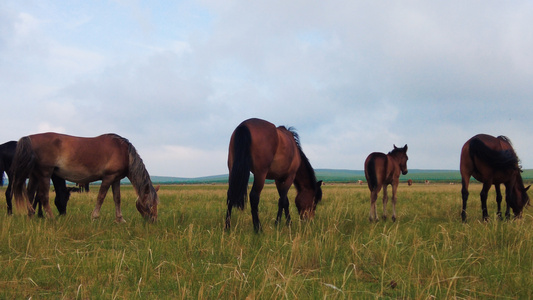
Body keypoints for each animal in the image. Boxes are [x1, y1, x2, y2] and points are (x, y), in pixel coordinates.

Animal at [10, 132, 158, 221]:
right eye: (151, 204)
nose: (154, 220)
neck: (124, 152)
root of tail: (29, 138)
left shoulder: (116, 179)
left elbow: (117, 199)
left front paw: (120, 219)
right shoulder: (108, 178)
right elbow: (101, 197)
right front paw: (95, 217)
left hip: (35, 175)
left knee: (29, 194)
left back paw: (30, 216)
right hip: (45, 174)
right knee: (43, 196)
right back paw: (51, 218)